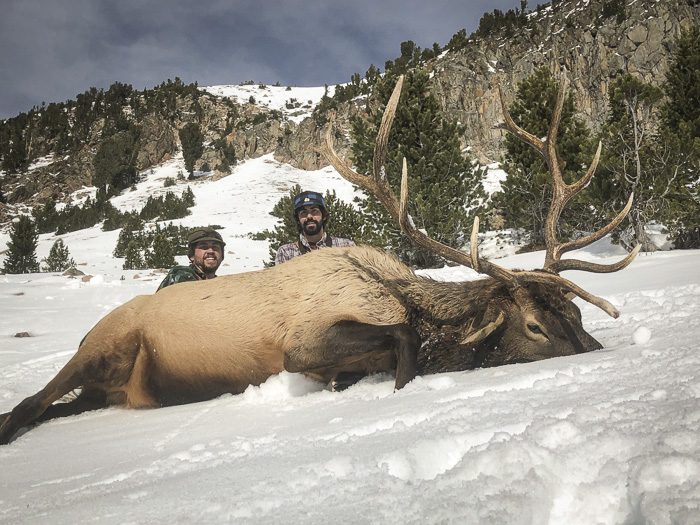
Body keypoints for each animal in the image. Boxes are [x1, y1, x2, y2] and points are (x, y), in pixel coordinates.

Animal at [0, 73, 638, 445]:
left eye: (576, 315)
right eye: (534, 326)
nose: (599, 358)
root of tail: (90, 333)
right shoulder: (302, 344)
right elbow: (403, 341)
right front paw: (399, 387)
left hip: (106, 385)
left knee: (54, 409)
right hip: (102, 347)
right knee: (27, 403)